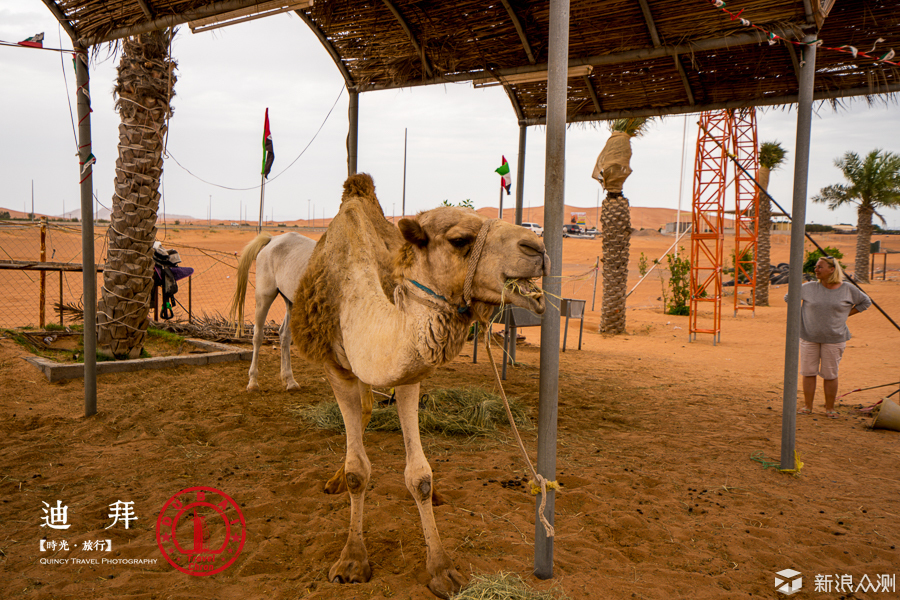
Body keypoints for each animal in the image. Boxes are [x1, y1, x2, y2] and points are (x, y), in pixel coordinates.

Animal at [229, 232, 316, 392]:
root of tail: (273, 239)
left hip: (291, 302)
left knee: (284, 335)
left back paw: (290, 381)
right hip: (264, 298)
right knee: (258, 336)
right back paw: (253, 382)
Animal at [292, 171, 544, 596]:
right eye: (459, 239)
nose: (538, 248)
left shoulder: (407, 370)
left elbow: (420, 476)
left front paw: (442, 569)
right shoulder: (336, 367)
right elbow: (359, 470)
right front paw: (352, 561)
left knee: (368, 409)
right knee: (360, 416)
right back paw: (335, 479)